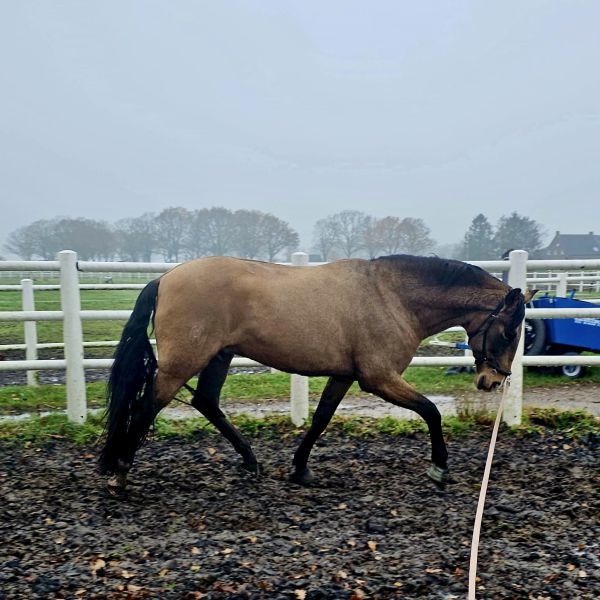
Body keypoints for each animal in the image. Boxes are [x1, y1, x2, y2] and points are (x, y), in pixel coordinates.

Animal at [99, 253, 536, 492]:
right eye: (511, 331)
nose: (493, 381)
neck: (392, 297)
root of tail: (164, 278)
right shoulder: (378, 378)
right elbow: (431, 411)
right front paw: (439, 468)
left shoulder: (344, 375)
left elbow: (321, 418)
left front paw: (300, 468)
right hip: (182, 362)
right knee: (147, 407)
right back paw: (119, 473)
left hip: (218, 357)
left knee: (206, 401)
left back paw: (251, 461)